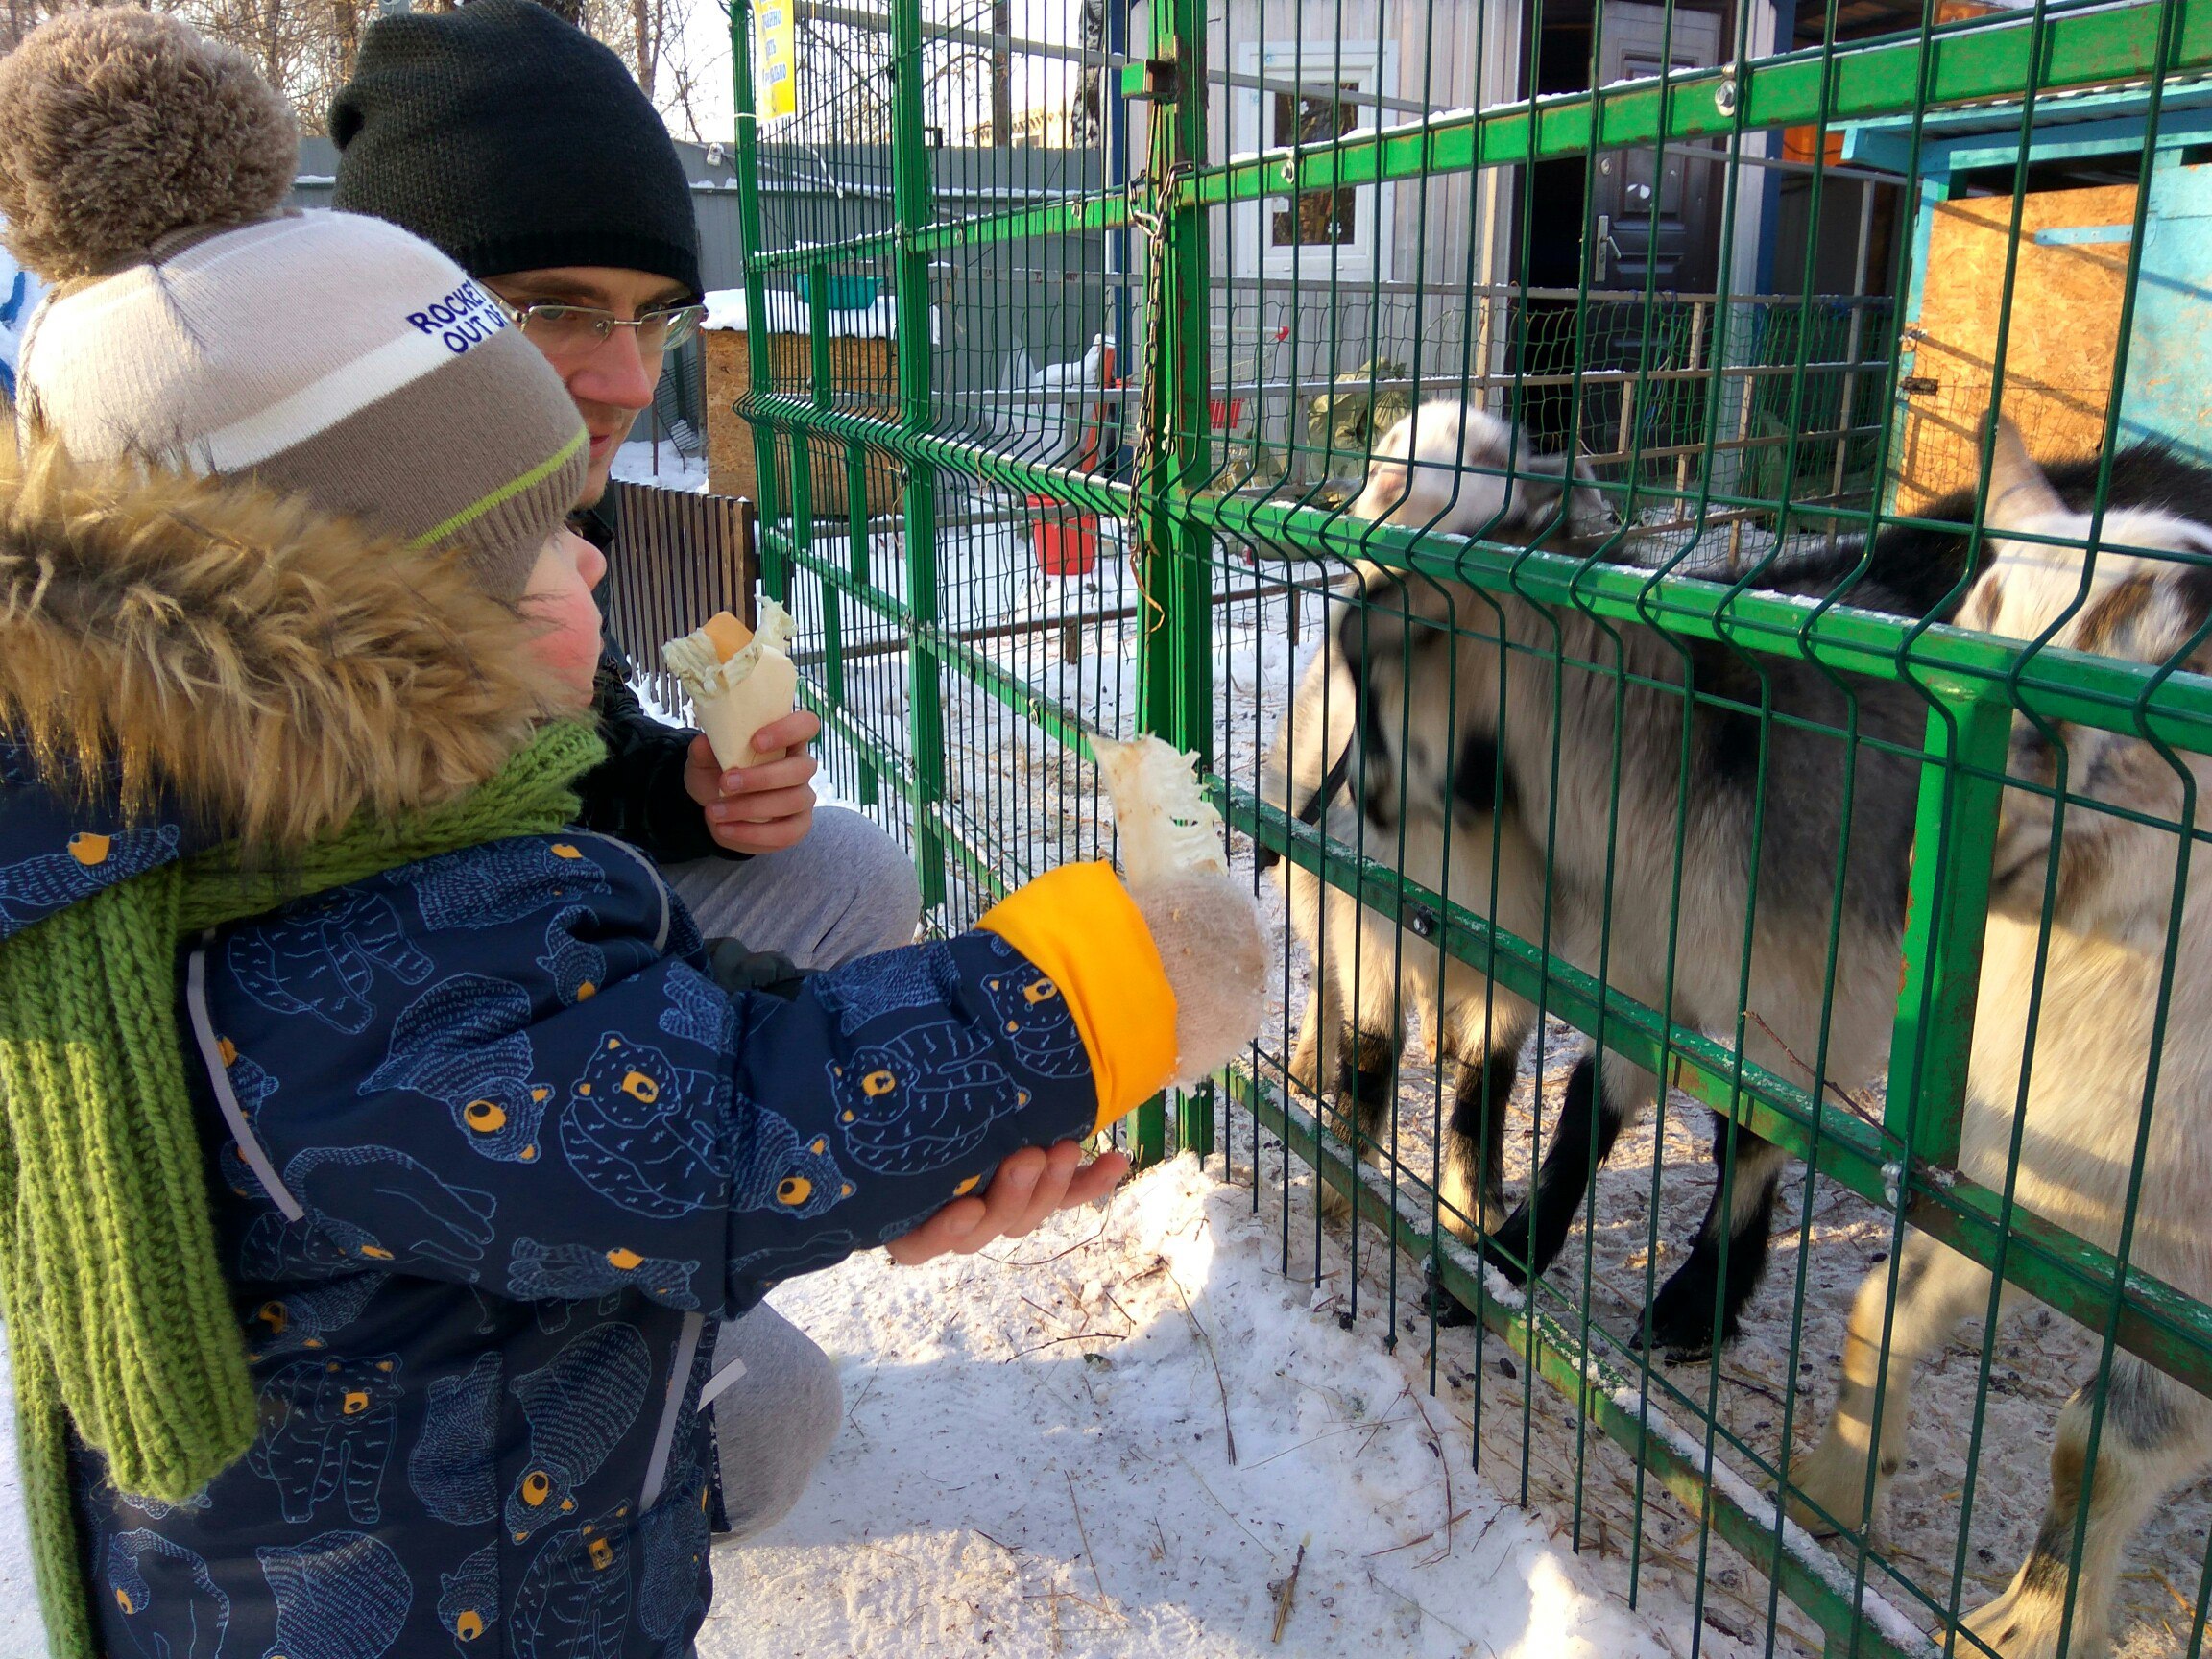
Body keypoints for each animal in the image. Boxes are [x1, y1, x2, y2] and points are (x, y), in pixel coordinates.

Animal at [1787, 422, 2212, 1654]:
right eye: (1980, 609)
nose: (1930, 863)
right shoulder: (2029, 1191)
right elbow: (1889, 1297)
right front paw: (1831, 1487)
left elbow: (2098, 1446)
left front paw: (2025, 1627)